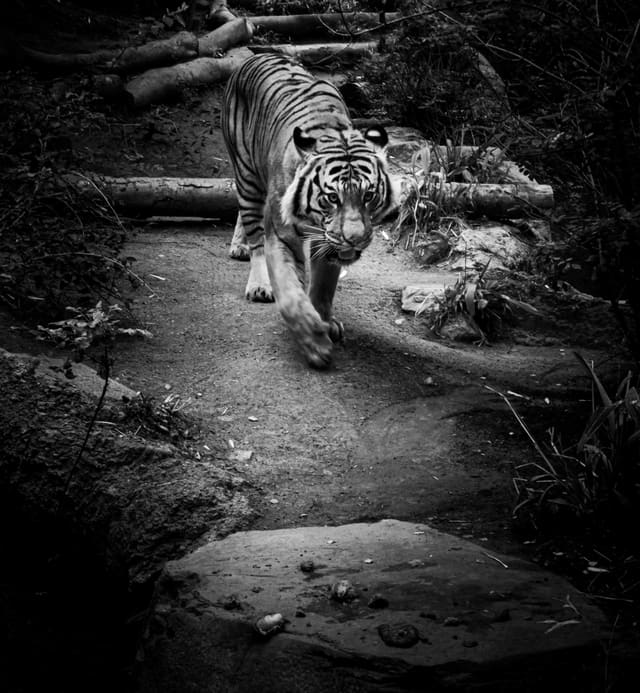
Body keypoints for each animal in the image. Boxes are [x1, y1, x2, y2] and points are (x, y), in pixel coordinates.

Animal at [221, 53, 396, 368]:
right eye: (332, 197)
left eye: (369, 195)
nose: (355, 239)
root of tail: (254, 55)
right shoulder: (281, 235)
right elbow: (291, 294)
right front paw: (315, 342)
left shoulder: (328, 243)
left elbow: (323, 286)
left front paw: (324, 321)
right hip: (247, 173)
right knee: (253, 230)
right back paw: (258, 281)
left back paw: (239, 246)